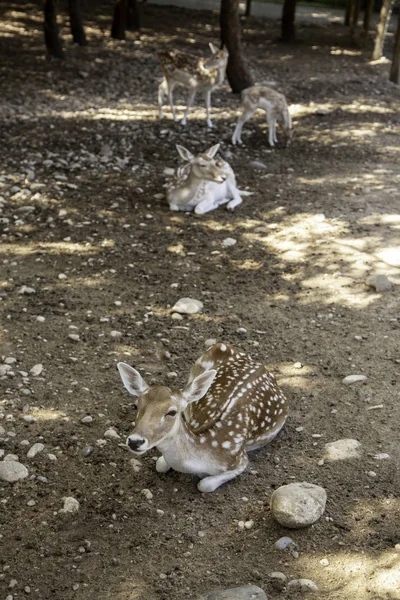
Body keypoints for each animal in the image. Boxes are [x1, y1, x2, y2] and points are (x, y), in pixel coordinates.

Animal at [117, 342, 290, 492]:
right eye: (136, 405)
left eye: (172, 412)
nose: (135, 441)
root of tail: (262, 366)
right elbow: (160, 464)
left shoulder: (240, 459)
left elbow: (204, 485)